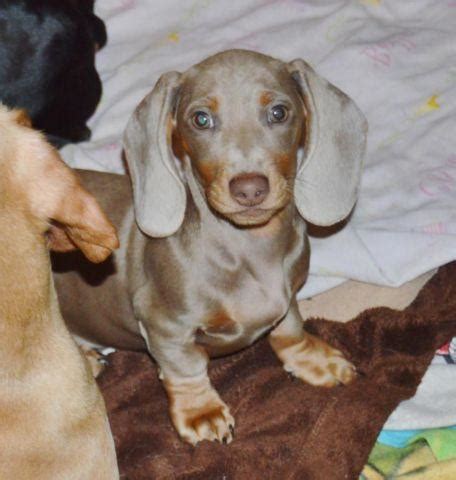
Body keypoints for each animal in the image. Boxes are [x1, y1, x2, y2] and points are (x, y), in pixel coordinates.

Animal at [53, 48, 366, 446]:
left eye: (279, 112)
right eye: (201, 119)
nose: (249, 189)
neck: (249, 248)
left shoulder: (290, 296)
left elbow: (289, 328)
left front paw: (311, 359)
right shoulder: (164, 326)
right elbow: (185, 369)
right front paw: (201, 411)